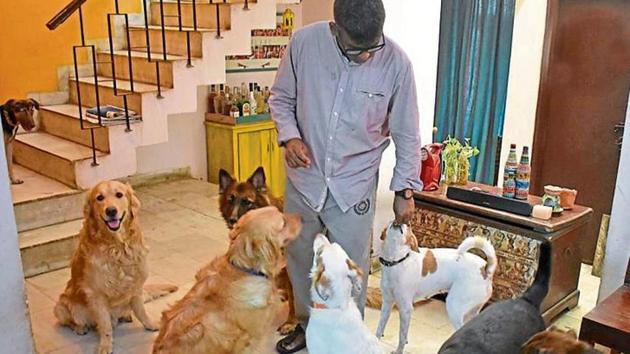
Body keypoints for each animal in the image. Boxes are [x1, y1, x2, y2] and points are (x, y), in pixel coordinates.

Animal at [376, 224, 498, 354]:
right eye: (391, 222)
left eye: (408, 228)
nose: (401, 222)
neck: (397, 261)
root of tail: (486, 269)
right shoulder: (387, 303)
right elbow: (380, 327)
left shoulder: (406, 309)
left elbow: (402, 336)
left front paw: (399, 351)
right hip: (472, 311)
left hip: (454, 306)